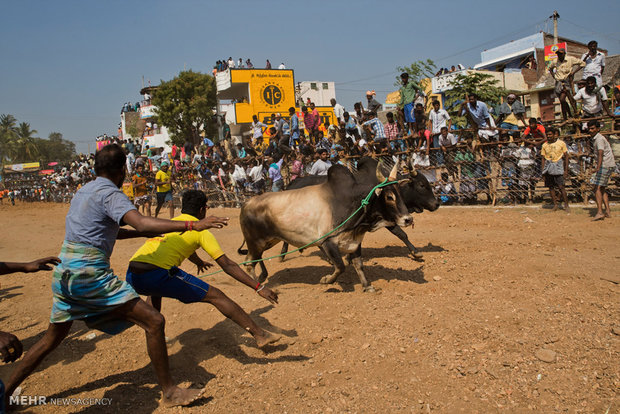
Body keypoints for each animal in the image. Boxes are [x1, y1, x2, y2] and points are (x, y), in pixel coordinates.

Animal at [237, 160, 412, 292]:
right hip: (256, 242)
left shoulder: (354, 241)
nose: (408, 219)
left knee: (253, 259)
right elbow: (340, 266)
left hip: (268, 241)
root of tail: (246, 203)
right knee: (249, 263)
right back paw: (258, 286)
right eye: (389, 196)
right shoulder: (328, 242)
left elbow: (359, 265)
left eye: (401, 193)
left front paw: (367, 286)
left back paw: (262, 277)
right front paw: (326, 280)